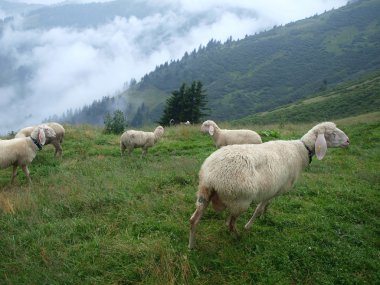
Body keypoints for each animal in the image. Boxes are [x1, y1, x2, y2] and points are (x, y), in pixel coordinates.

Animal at [189, 121, 348, 247]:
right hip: (239, 200)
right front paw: (249, 225)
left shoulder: (273, 189)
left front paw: (264, 215)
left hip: (204, 194)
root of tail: (211, 174)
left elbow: (266, 206)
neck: (301, 150)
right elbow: (259, 208)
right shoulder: (273, 190)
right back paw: (239, 237)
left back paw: (192, 246)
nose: (348, 141)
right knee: (230, 223)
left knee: (193, 220)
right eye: (332, 133)